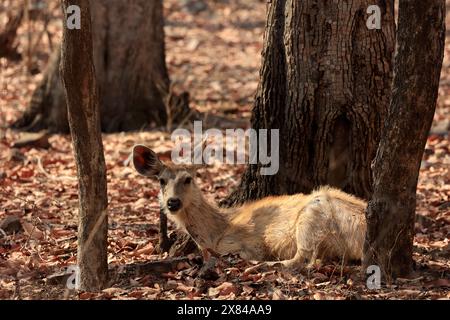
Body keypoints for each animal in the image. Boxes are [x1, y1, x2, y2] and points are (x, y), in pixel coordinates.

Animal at [132, 144, 368, 268]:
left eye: (188, 179)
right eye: (161, 180)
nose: (173, 202)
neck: (217, 230)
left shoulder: (248, 243)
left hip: (312, 216)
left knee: (304, 259)